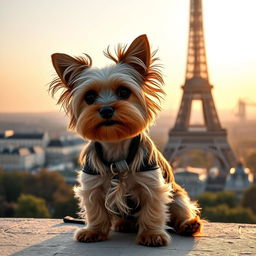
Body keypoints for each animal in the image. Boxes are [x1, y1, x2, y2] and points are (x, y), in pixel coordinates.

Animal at [49, 35, 202, 247]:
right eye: (90, 96)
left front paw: (152, 235)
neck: (116, 146)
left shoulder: (152, 184)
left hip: (177, 193)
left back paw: (188, 225)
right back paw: (124, 224)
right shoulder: (92, 185)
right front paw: (94, 231)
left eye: (123, 92)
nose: (106, 110)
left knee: (180, 208)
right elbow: (95, 210)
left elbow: (153, 210)